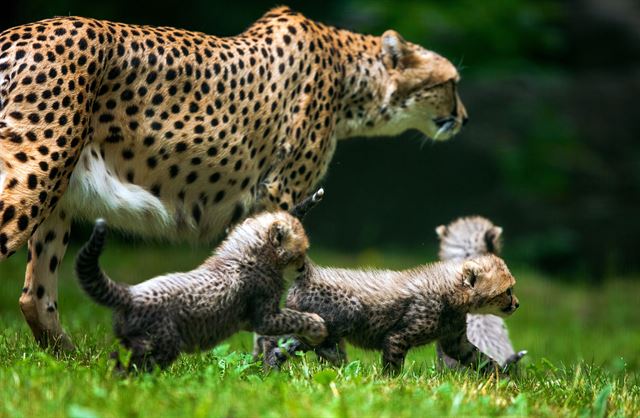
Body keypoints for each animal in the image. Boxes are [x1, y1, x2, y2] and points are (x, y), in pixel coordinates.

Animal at [1, 7, 470, 350]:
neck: (349, 78)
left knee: (34, 295)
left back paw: (71, 358)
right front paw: (275, 364)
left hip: (60, 192)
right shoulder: (279, 193)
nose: (464, 118)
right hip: (34, 173)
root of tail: (17, 33)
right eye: (451, 83)